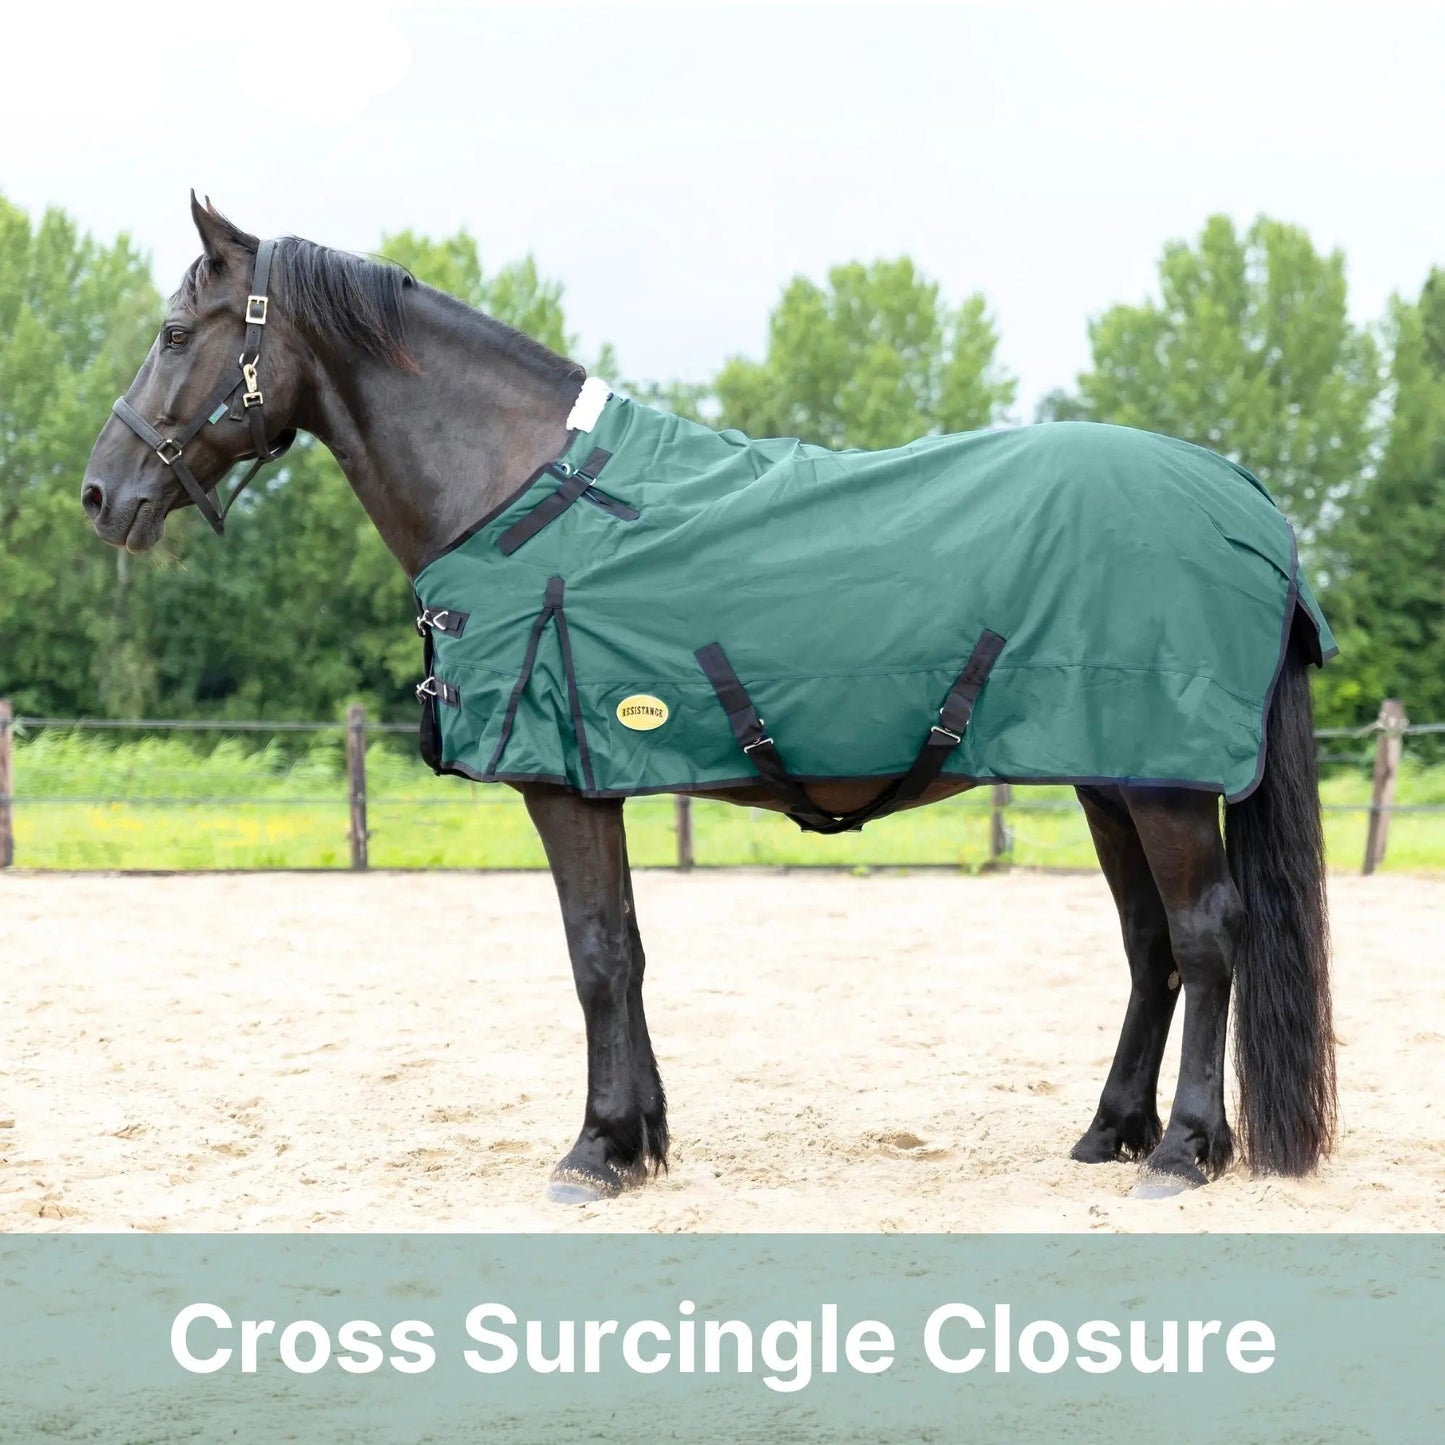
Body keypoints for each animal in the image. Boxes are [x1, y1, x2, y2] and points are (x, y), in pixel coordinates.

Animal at [80, 196, 1336, 1204]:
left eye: (175, 334)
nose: (102, 491)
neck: (519, 486)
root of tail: (1241, 493)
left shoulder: (562, 785)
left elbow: (593, 953)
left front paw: (594, 1151)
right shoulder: (597, 782)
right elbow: (628, 950)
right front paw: (640, 1139)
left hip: (1160, 782)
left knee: (1205, 935)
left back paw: (1181, 1150)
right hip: (1109, 776)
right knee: (1148, 943)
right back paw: (1108, 1131)